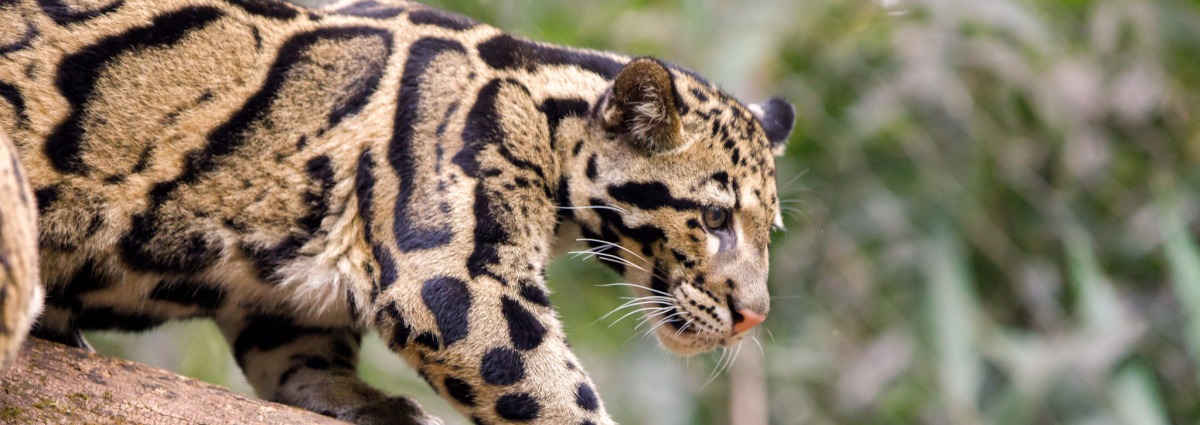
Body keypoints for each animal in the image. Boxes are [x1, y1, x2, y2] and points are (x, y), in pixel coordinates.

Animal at [0, 0, 796, 423]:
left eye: (768, 230)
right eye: (716, 219)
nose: (755, 315)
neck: (545, 113)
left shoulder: (284, 300)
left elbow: (295, 357)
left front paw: (363, 399)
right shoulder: (453, 279)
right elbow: (551, 387)